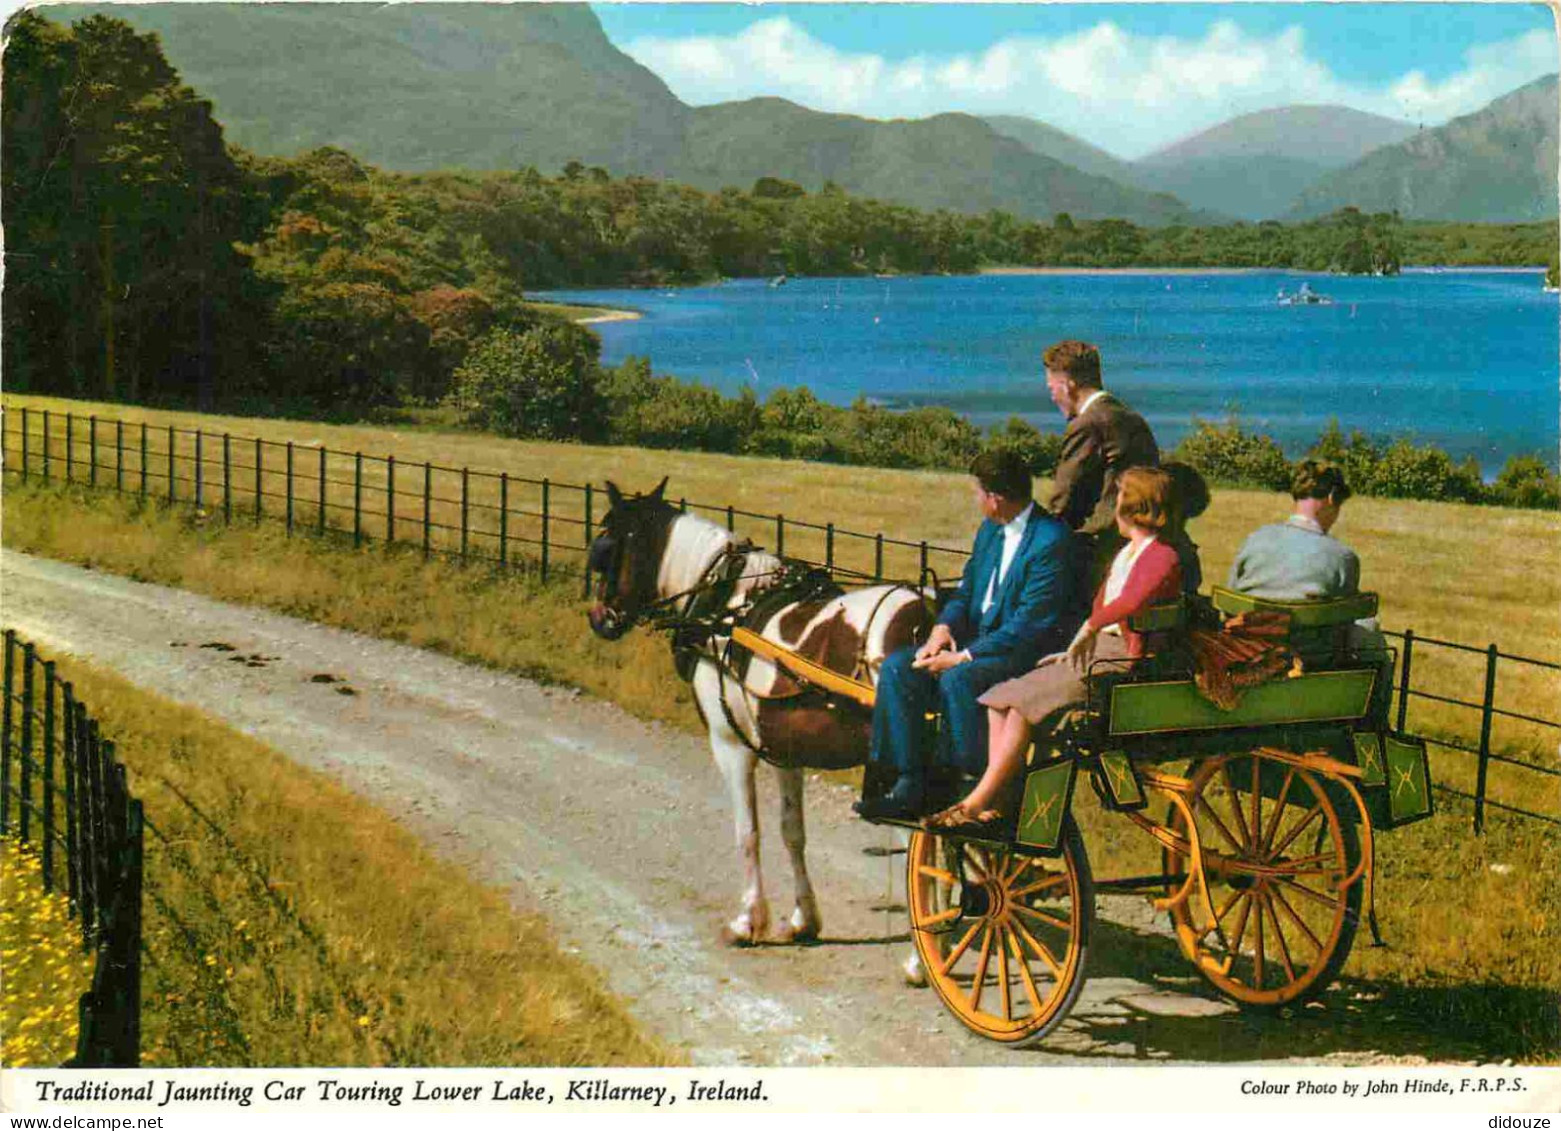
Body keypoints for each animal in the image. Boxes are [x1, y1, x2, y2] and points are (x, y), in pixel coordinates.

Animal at [586, 480, 924, 948]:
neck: (726, 609)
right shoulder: (786, 751)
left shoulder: (731, 745)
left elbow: (748, 832)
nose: (598, 617)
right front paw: (803, 919)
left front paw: (748, 921)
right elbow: (792, 832)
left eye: (607, 544)